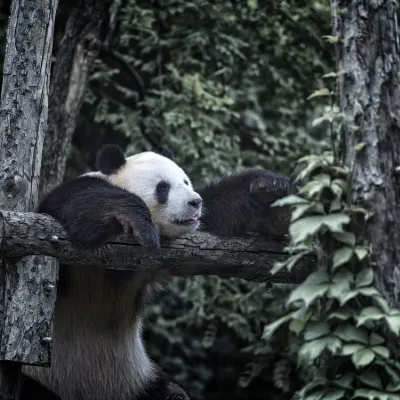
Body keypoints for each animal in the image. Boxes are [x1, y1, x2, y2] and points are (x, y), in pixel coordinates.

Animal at [19, 145, 290, 400]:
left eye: (186, 182)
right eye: (163, 187)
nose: (194, 202)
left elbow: (221, 213)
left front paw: (269, 187)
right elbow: (81, 206)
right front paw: (137, 219)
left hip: (137, 380)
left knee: (168, 392)